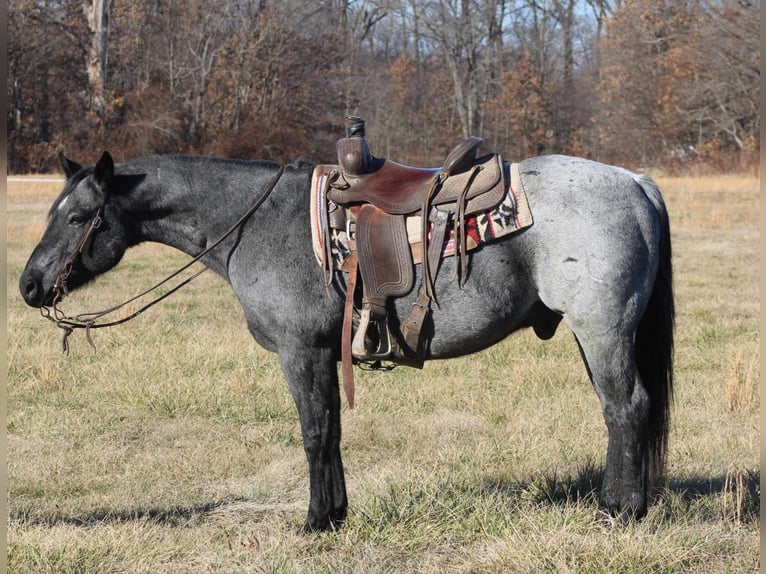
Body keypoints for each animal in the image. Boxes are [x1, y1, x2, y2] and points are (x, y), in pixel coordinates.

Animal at [18, 150, 676, 536]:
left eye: (76, 218)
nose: (29, 286)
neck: (260, 223)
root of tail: (636, 181)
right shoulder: (321, 353)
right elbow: (331, 430)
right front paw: (335, 513)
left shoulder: (299, 352)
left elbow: (313, 432)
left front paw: (315, 522)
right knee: (622, 412)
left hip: (603, 329)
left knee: (627, 409)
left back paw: (621, 512)